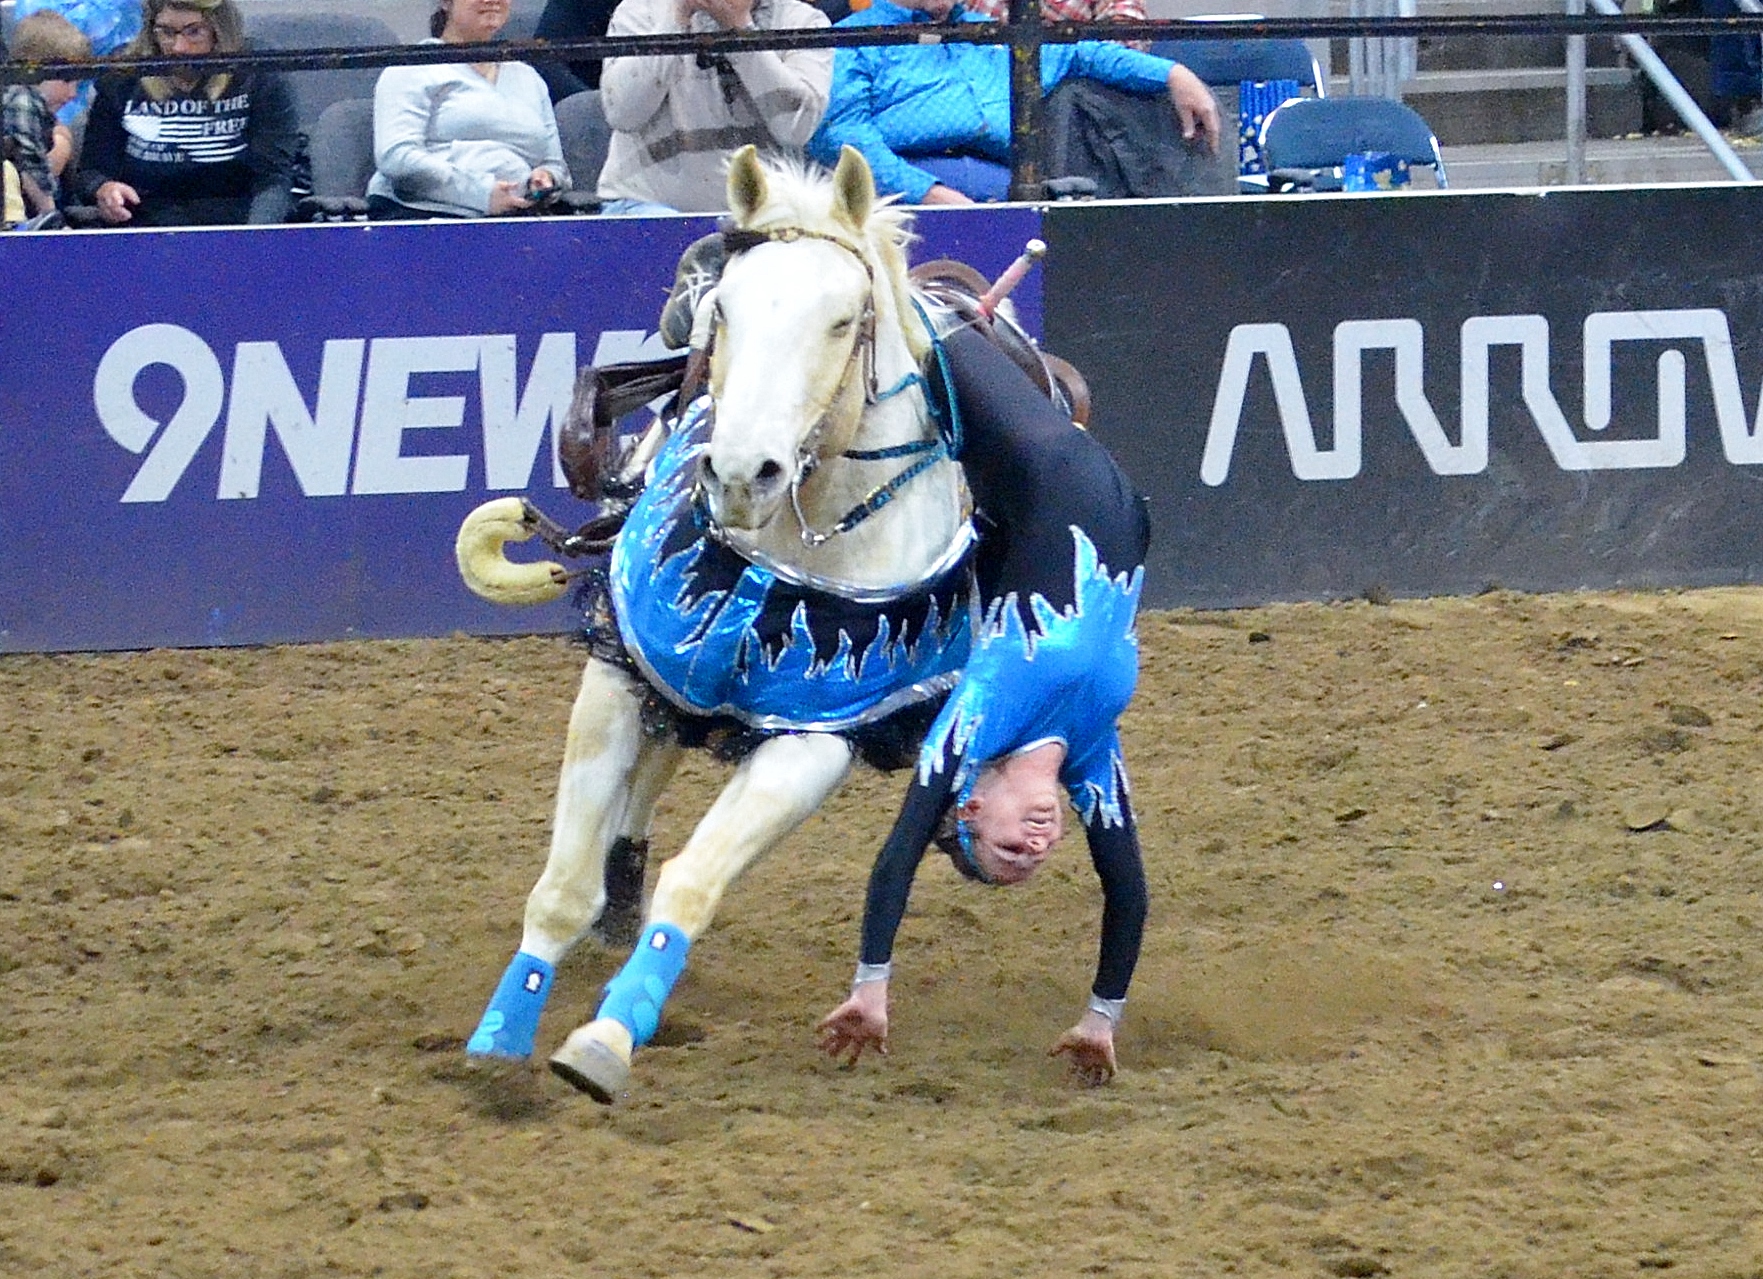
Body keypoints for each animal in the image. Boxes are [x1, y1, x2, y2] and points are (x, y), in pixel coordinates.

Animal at [451, 147, 980, 1100]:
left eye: (842, 321)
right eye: (723, 308)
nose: (739, 472)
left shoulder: (816, 739)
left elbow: (693, 885)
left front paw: (605, 1040)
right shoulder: (620, 672)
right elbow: (561, 886)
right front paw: (500, 1032)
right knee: (649, 774)